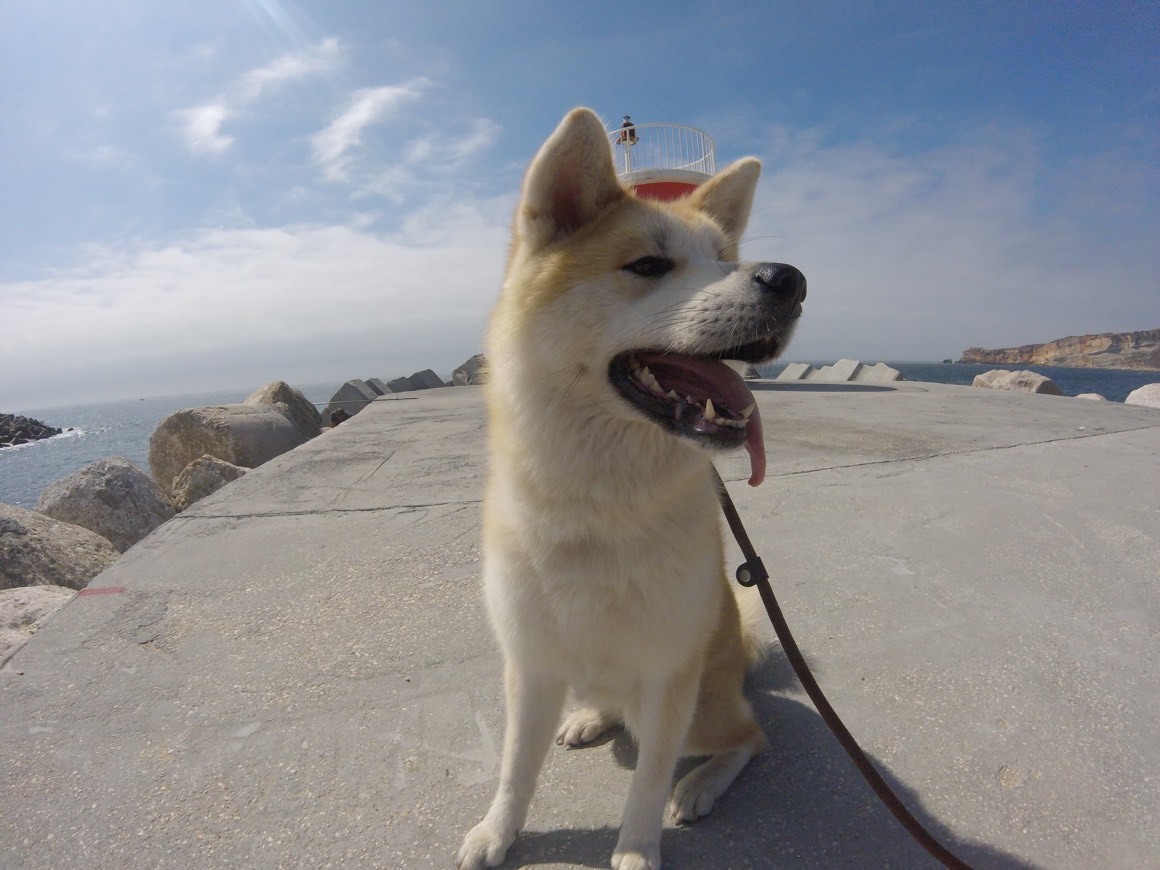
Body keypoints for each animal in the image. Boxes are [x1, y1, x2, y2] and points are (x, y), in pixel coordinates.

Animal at [454, 109, 807, 870]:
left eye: (724, 256)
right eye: (648, 265)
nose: (788, 280)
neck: (599, 504)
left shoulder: (668, 679)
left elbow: (647, 784)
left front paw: (639, 849)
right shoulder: (529, 666)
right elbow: (515, 768)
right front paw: (497, 831)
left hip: (701, 709)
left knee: (750, 736)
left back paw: (700, 783)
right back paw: (589, 716)